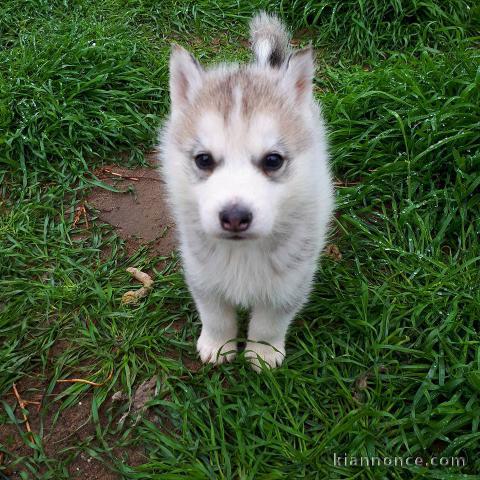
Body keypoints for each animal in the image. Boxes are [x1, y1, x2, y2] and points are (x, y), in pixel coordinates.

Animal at [160, 12, 334, 372]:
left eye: (273, 160)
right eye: (203, 159)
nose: (235, 217)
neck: (242, 253)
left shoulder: (291, 278)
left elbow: (270, 321)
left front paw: (262, 353)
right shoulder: (202, 271)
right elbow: (215, 313)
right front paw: (218, 345)